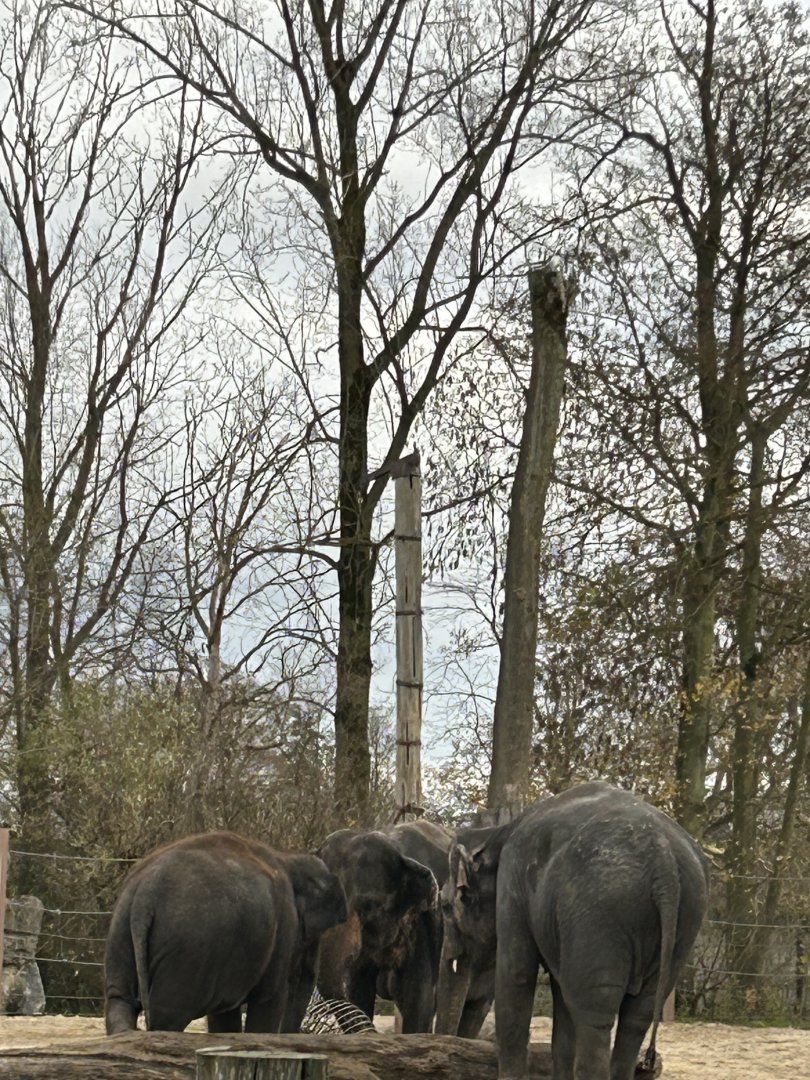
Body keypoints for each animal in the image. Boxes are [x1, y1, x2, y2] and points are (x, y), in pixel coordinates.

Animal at [104, 830, 347, 1034]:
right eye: (312, 935)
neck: (288, 859)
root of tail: (145, 892)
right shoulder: (283, 929)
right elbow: (269, 999)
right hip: (187, 951)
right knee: (168, 1015)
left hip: (121, 929)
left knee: (120, 1002)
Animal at [437, 782, 709, 1080]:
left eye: (445, 907)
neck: (496, 834)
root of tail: (664, 860)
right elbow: (561, 998)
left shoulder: (512, 881)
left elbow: (516, 976)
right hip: (684, 921)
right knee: (638, 1015)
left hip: (601, 911)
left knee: (595, 1014)